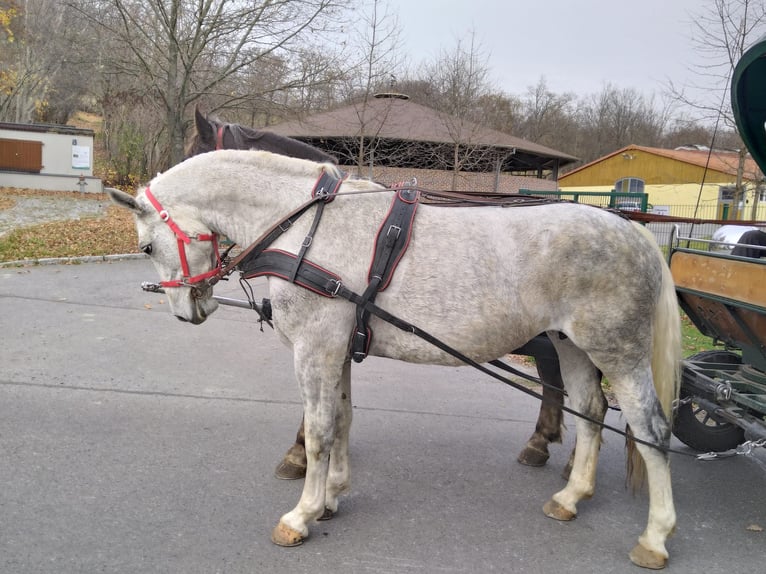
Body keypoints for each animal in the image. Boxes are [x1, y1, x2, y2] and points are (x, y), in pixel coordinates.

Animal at [107, 150, 682, 569]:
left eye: (146, 246)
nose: (187, 311)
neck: (306, 225)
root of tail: (634, 231)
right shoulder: (337, 347)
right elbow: (342, 419)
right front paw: (333, 496)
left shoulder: (315, 346)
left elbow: (318, 430)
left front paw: (302, 514)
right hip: (571, 345)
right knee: (591, 413)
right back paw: (571, 496)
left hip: (618, 352)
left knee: (650, 430)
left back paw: (655, 537)